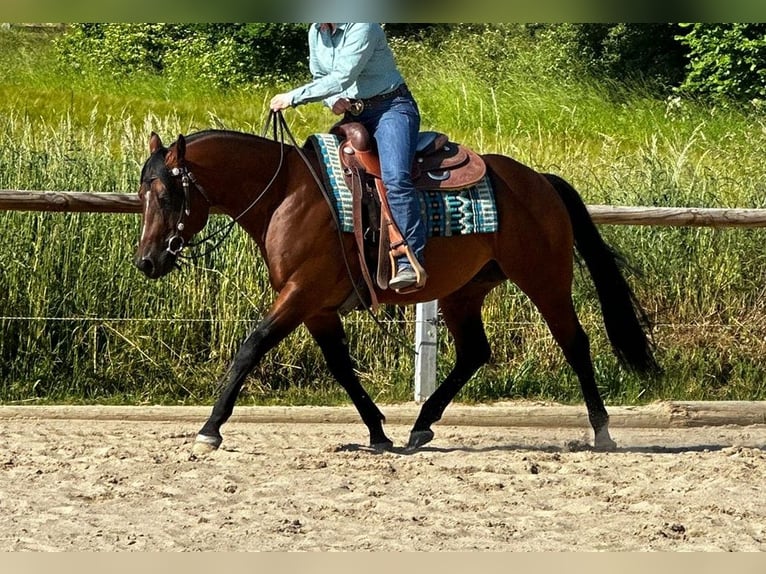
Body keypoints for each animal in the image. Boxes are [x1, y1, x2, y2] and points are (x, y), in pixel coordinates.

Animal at [134, 116, 659, 456]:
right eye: (141, 195)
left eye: (166, 194)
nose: (147, 261)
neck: (287, 193)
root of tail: (540, 182)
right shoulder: (317, 308)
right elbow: (341, 368)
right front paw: (378, 432)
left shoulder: (300, 294)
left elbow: (251, 347)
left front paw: (210, 428)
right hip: (463, 292)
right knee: (474, 352)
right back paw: (422, 426)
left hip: (544, 279)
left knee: (575, 342)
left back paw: (602, 431)